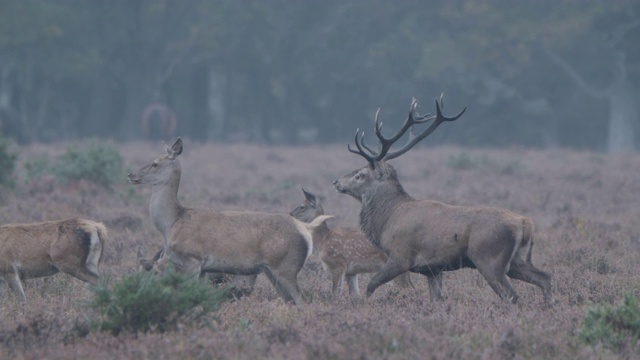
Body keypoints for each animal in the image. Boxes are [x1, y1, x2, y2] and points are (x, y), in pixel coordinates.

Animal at [128, 138, 332, 304]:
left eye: (154, 163)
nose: (131, 175)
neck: (172, 223)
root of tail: (305, 231)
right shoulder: (204, 270)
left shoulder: (192, 259)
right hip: (271, 270)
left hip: (286, 267)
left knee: (303, 301)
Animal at [332, 96, 552, 304]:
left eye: (360, 174)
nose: (336, 181)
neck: (388, 220)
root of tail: (526, 223)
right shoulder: (433, 269)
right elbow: (435, 298)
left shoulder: (400, 256)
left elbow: (371, 285)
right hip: (518, 260)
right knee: (545, 277)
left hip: (490, 259)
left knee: (511, 295)